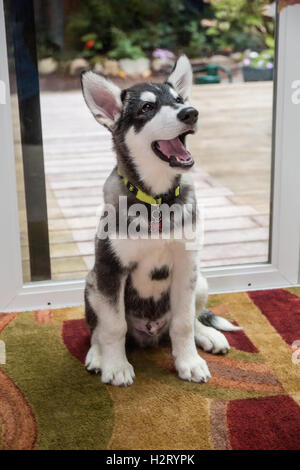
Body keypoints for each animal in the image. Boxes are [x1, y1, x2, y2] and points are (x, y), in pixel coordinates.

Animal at [81, 55, 240, 386]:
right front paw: (116, 366)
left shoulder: (185, 265)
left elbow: (183, 323)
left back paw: (208, 335)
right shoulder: (110, 268)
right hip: (92, 283)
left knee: (191, 317)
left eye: (179, 100)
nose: (191, 113)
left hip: (200, 279)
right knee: (97, 328)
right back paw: (97, 354)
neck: (156, 201)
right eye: (147, 107)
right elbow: (113, 325)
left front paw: (189, 361)